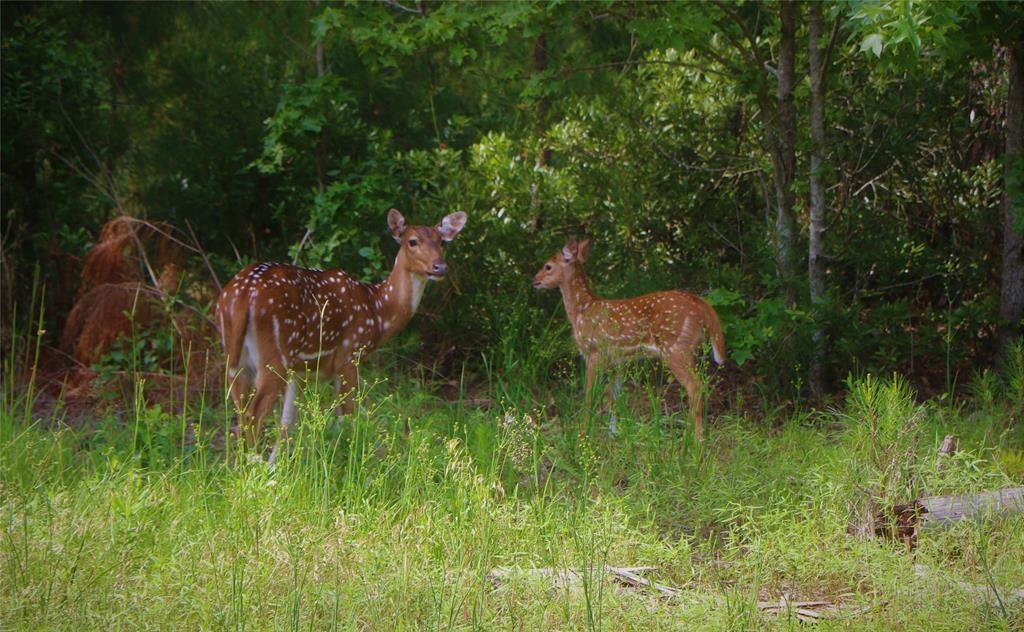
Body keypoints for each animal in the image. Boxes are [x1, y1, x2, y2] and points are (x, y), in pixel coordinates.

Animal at [215, 209, 467, 465]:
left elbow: (288, 422)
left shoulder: (301, 371)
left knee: (239, 412)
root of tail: (244, 295)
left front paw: (277, 467)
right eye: (412, 241)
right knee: (252, 415)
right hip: (276, 355)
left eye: (442, 242)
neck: (377, 311)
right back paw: (251, 465)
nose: (439, 267)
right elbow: (347, 417)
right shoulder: (349, 354)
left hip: (236, 358)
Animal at [532, 237, 726, 441]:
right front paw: (613, 434)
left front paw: (583, 435)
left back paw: (696, 439)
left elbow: (590, 396)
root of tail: (703, 307)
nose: (534, 280)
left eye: (548, 266)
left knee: (695, 386)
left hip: (675, 348)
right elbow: (612, 397)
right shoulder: (617, 362)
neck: (582, 312)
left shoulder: (594, 352)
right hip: (689, 350)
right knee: (699, 384)